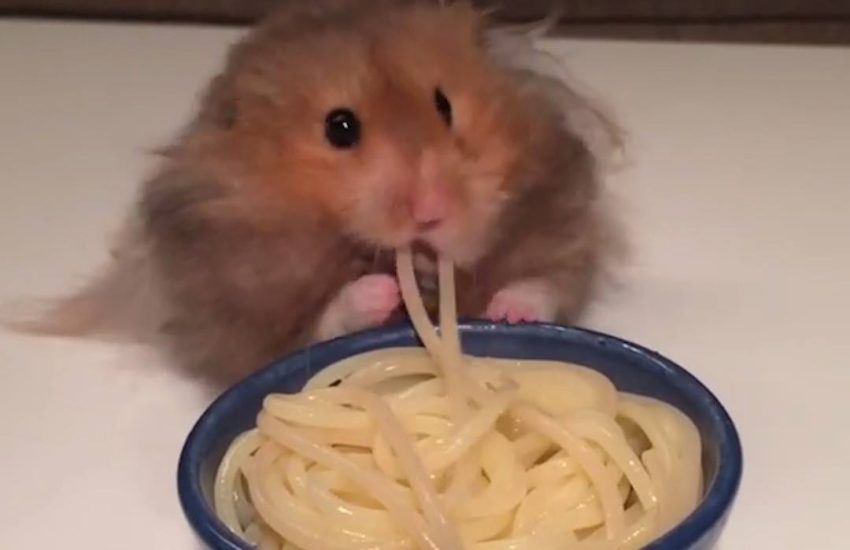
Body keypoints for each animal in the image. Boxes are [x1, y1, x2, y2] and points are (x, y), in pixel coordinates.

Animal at [15, 0, 624, 384]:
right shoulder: (239, 304)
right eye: (340, 128)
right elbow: (323, 321)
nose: (431, 213)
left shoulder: (564, 215)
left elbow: (548, 278)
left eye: (445, 105)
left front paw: (508, 313)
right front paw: (382, 292)